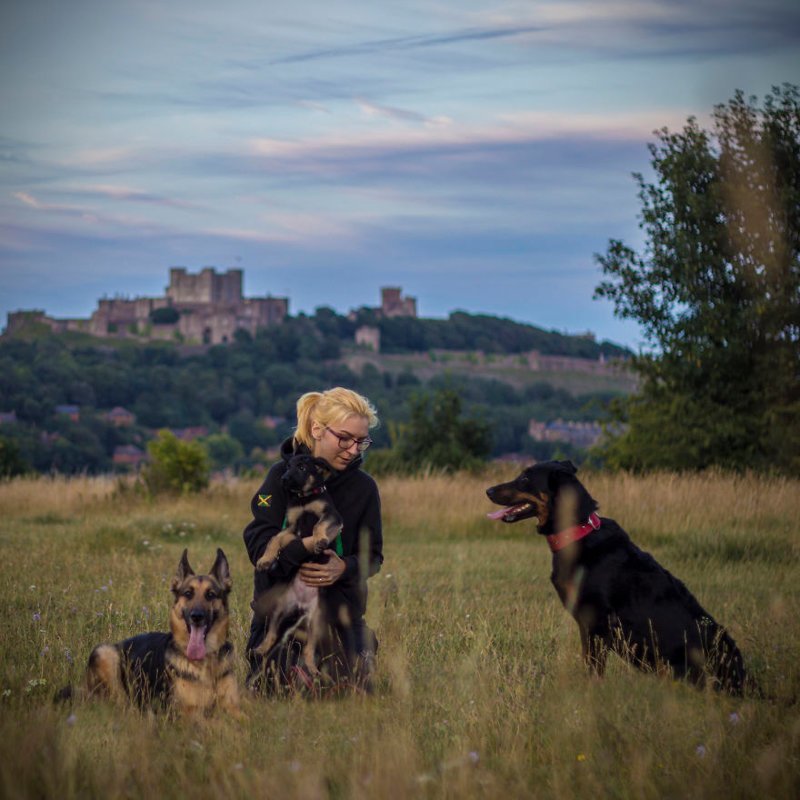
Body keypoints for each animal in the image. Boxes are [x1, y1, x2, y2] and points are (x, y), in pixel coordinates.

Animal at [79, 552, 241, 712]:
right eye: (188, 593)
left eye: (211, 595)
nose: (196, 616)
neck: (206, 662)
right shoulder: (188, 712)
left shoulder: (235, 707)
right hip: (105, 652)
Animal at [252, 454, 342, 672]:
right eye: (288, 466)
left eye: (301, 467)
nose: (284, 479)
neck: (304, 498)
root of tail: (301, 606)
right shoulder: (292, 529)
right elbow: (274, 539)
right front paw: (265, 560)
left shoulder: (331, 515)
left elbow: (319, 525)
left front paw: (320, 540)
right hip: (279, 611)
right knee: (272, 634)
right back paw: (260, 649)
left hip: (316, 621)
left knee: (309, 648)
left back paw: (312, 669)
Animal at [484, 462, 752, 692]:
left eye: (524, 479)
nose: (488, 490)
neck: (577, 532)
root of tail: (746, 683)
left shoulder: (596, 623)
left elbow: (593, 669)